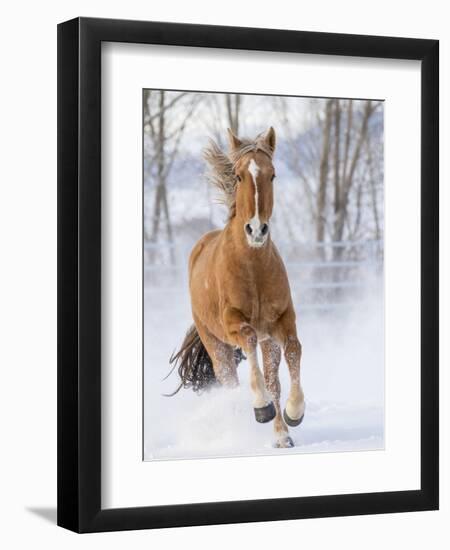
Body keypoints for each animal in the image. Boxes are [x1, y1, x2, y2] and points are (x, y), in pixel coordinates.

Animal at [170, 126, 306, 448]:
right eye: (240, 175)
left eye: (272, 174)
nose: (256, 230)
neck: (253, 268)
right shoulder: (235, 325)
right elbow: (249, 341)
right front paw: (261, 407)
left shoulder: (282, 323)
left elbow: (294, 351)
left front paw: (294, 412)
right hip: (216, 345)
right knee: (230, 382)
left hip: (268, 341)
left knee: (273, 380)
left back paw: (282, 435)